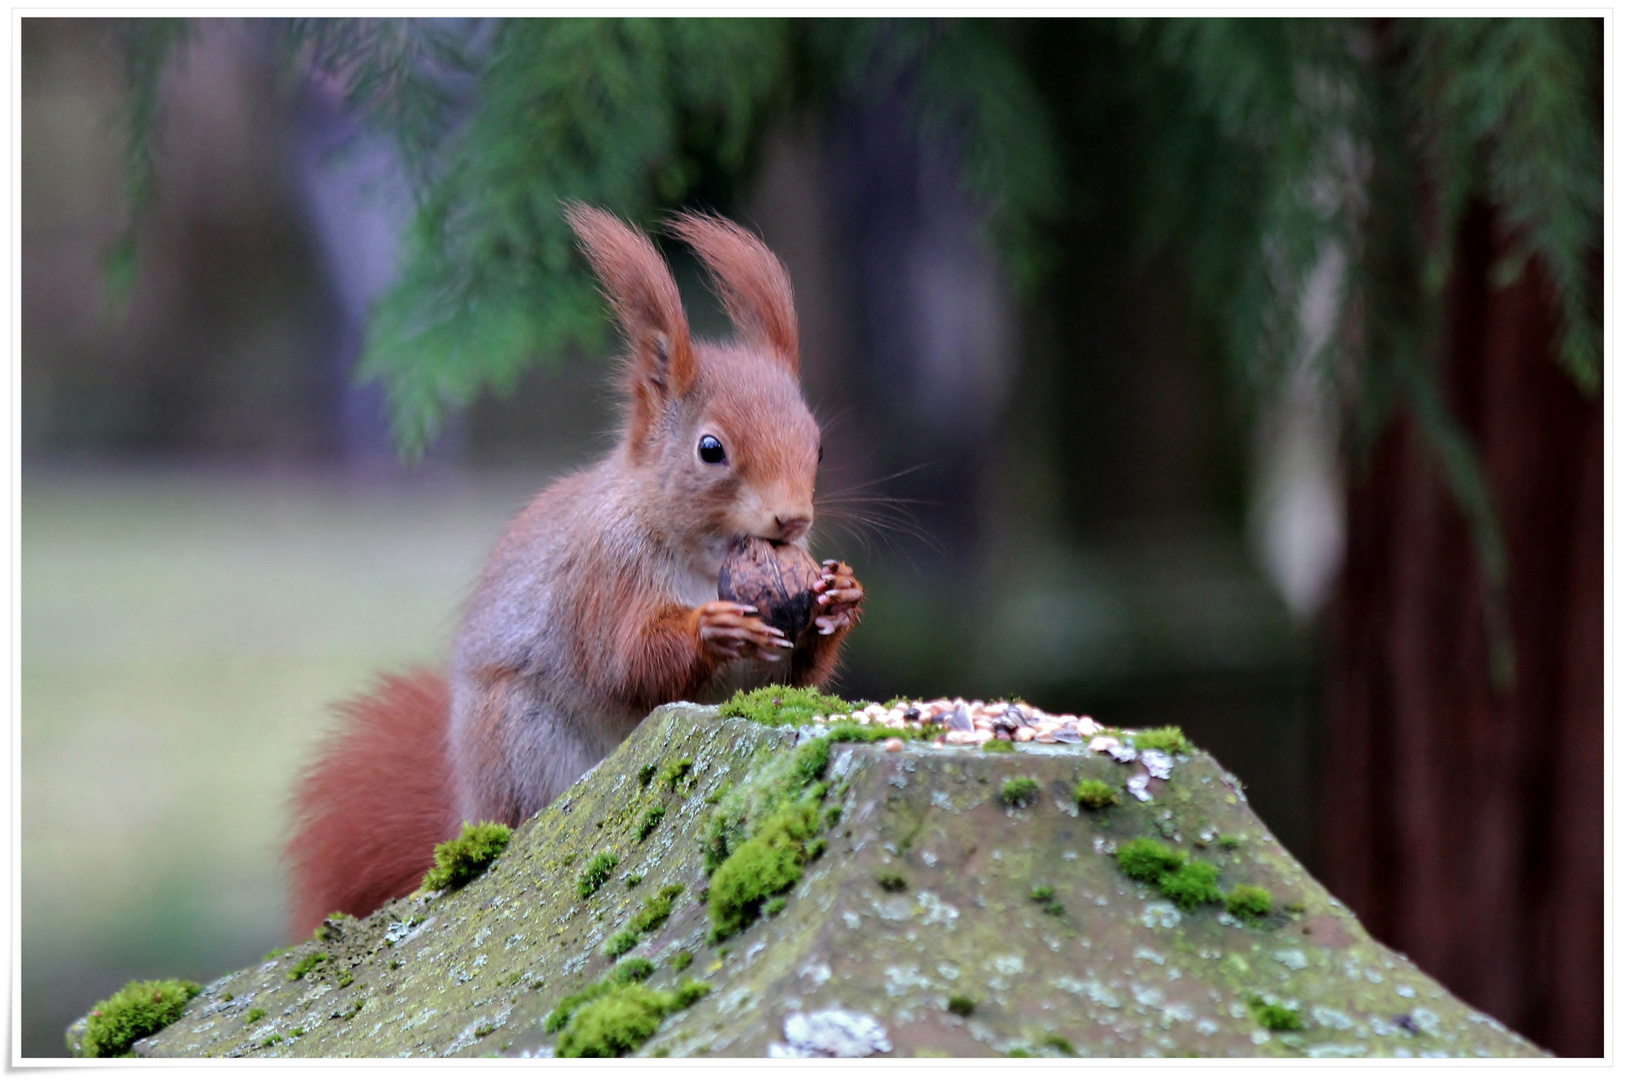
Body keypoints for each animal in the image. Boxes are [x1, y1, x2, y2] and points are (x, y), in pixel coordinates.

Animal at [282, 204, 865, 936]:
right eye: (710, 449)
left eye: (818, 445)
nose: (792, 519)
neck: (705, 557)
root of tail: (468, 809)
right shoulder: (600, 575)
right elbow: (624, 660)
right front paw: (713, 629)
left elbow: (791, 675)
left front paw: (840, 595)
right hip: (520, 741)